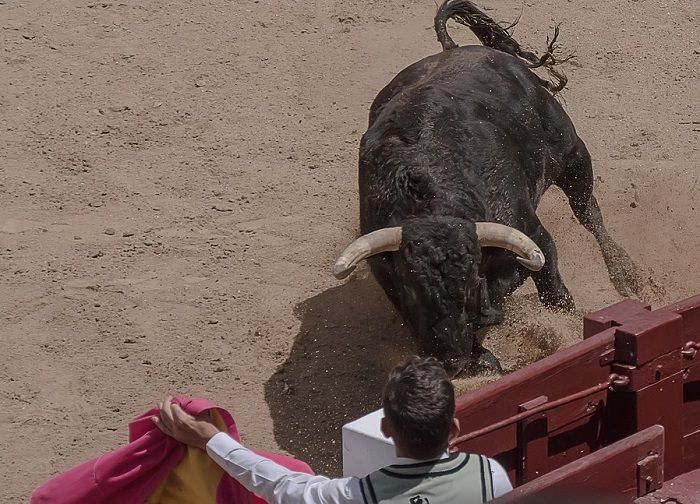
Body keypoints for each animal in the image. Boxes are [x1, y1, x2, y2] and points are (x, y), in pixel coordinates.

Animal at [334, 0, 640, 374]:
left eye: (469, 281)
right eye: (409, 285)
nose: (451, 359)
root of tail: (454, 50)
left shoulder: (535, 237)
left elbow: (554, 294)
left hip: (572, 154)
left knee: (589, 214)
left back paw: (627, 274)